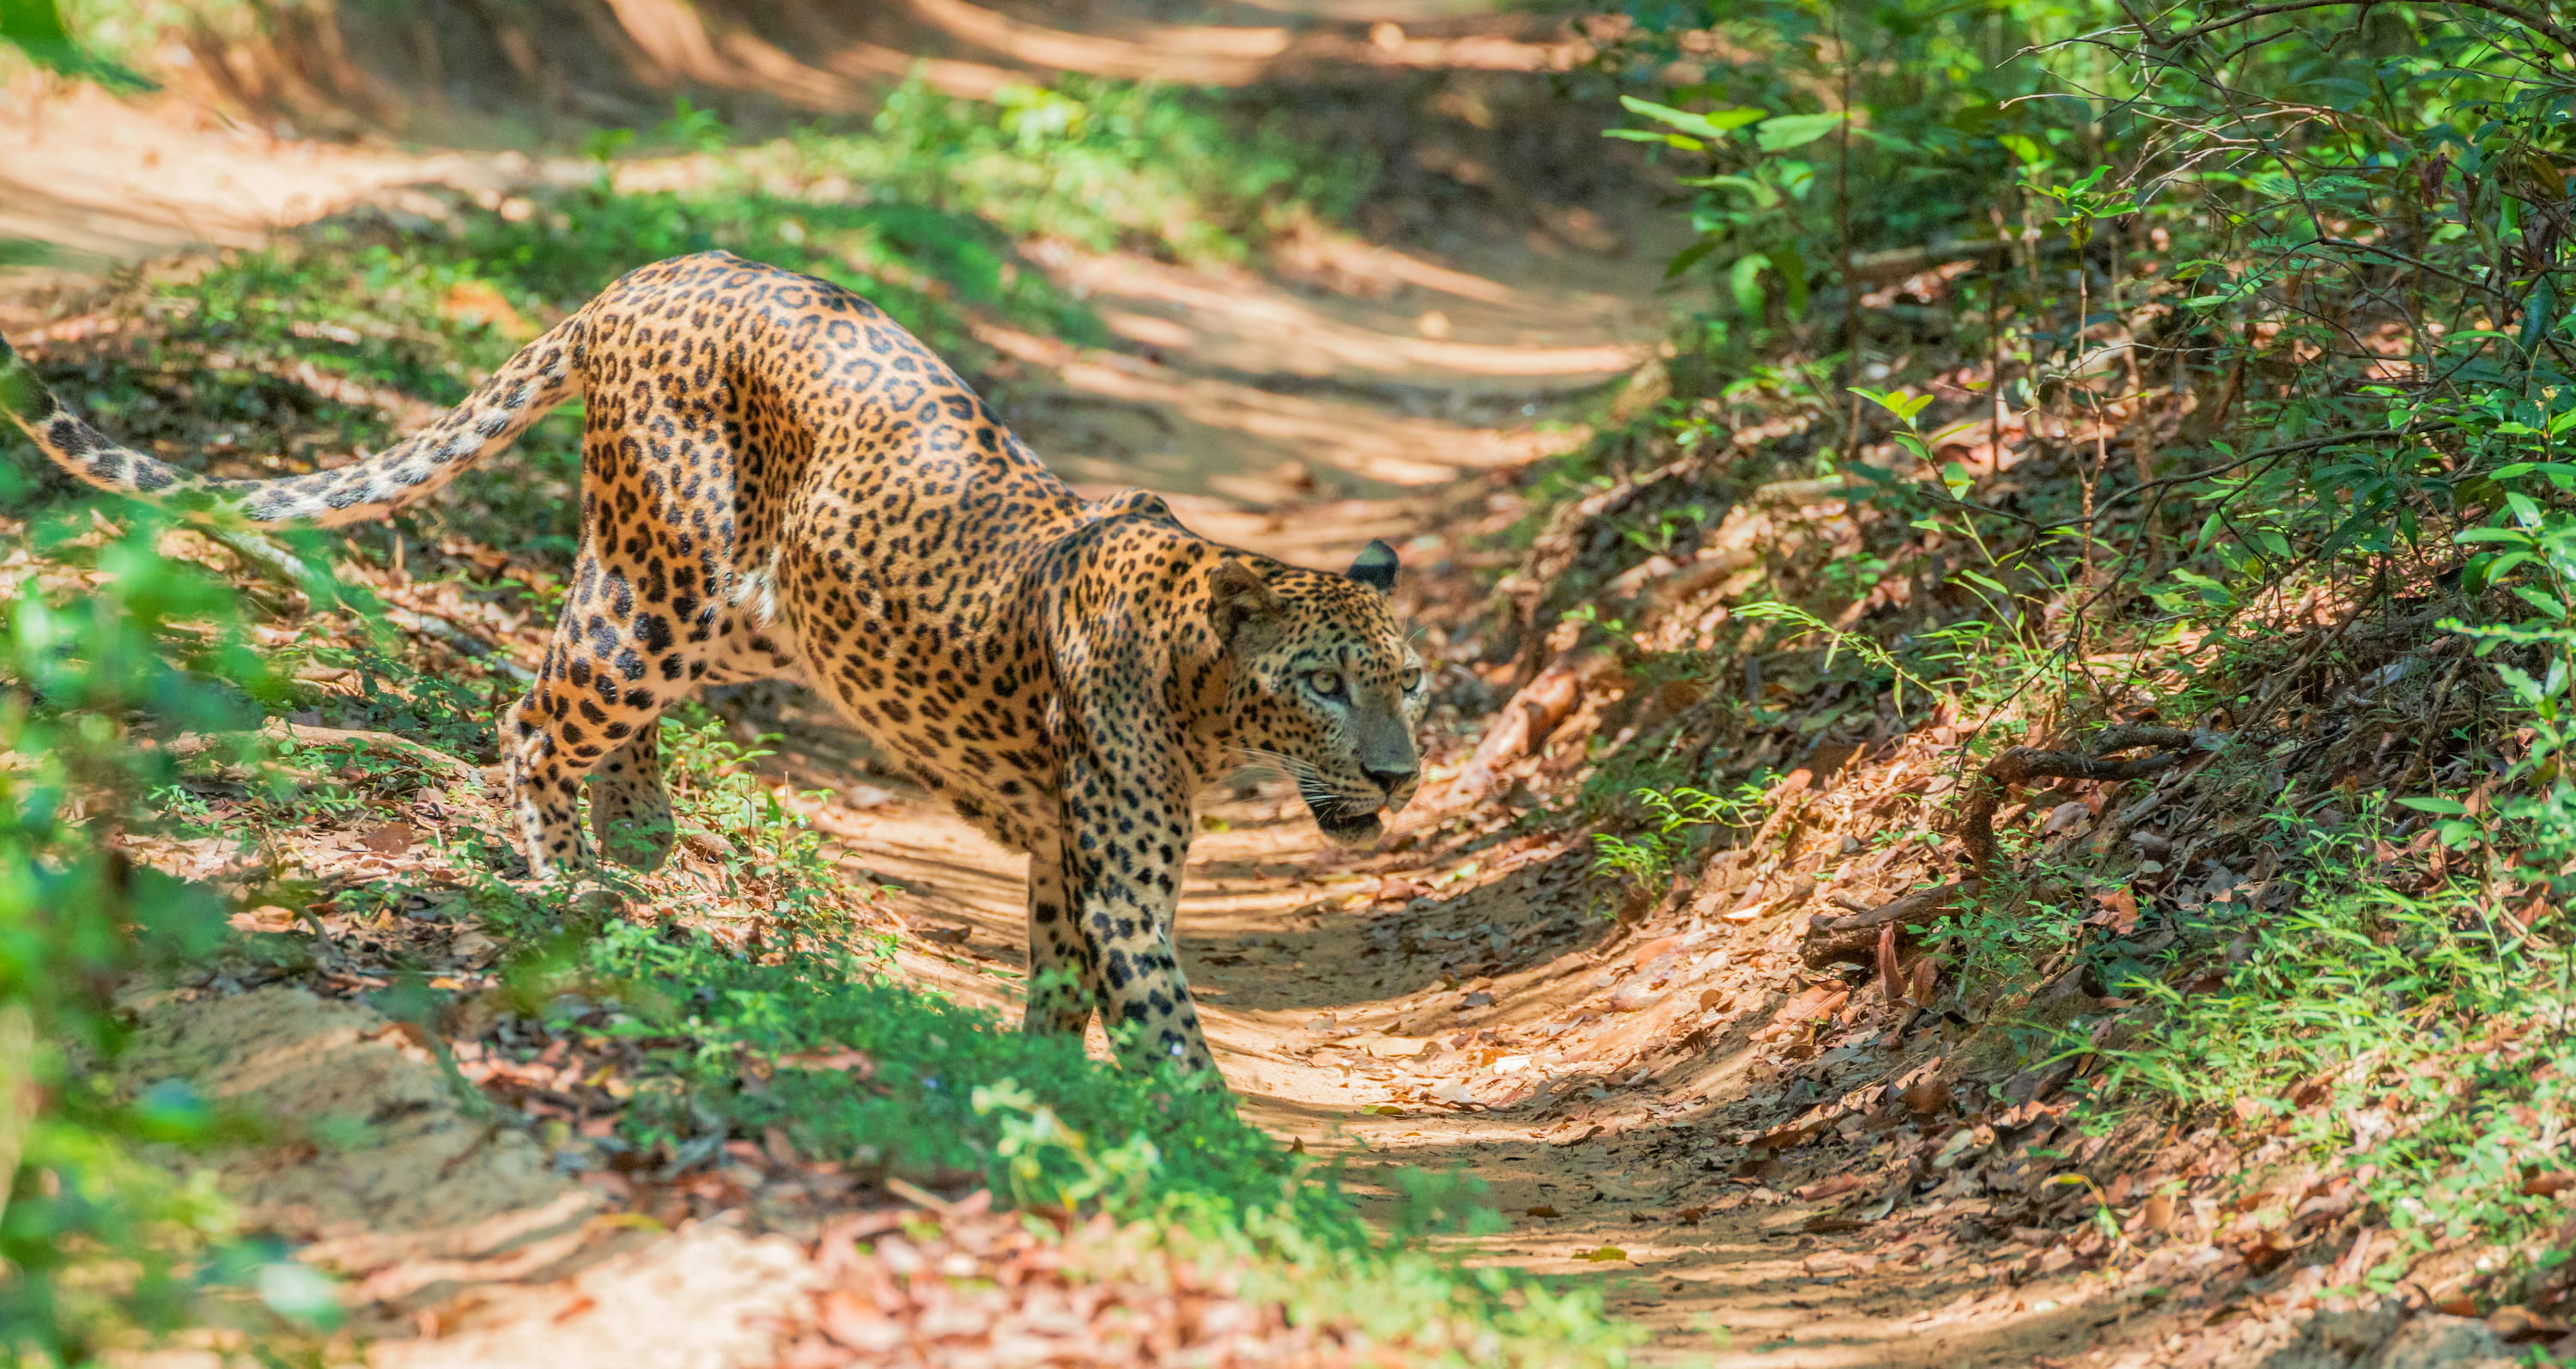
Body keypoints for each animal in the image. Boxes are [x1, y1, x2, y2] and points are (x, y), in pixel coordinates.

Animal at [0, 250, 1429, 1083]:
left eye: (1407, 682)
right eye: (1322, 683)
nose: (1399, 777)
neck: (1202, 687)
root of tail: (641, 278)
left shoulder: (1057, 851)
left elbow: (1056, 980)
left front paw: (1053, 1087)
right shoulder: (1126, 880)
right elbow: (1175, 1034)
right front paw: (1233, 1167)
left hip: (725, 604)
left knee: (570, 684)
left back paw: (640, 831)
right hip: (662, 593)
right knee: (533, 719)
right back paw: (566, 885)